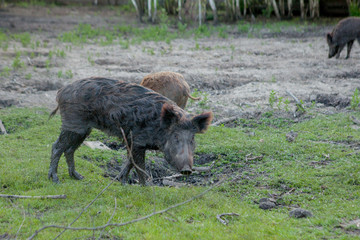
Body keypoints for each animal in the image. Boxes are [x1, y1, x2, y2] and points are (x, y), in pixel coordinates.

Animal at [48, 78, 214, 185]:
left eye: (192, 139)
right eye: (175, 137)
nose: (187, 170)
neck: (158, 127)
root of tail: (61, 92)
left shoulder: (131, 141)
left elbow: (129, 162)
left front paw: (121, 181)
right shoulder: (138, 141)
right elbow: (139, 166)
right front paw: (147, 186)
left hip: (84, 130)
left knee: (69, 149)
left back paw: (78, 177)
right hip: (73, 124)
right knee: (57, 146)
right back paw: (55, 180)